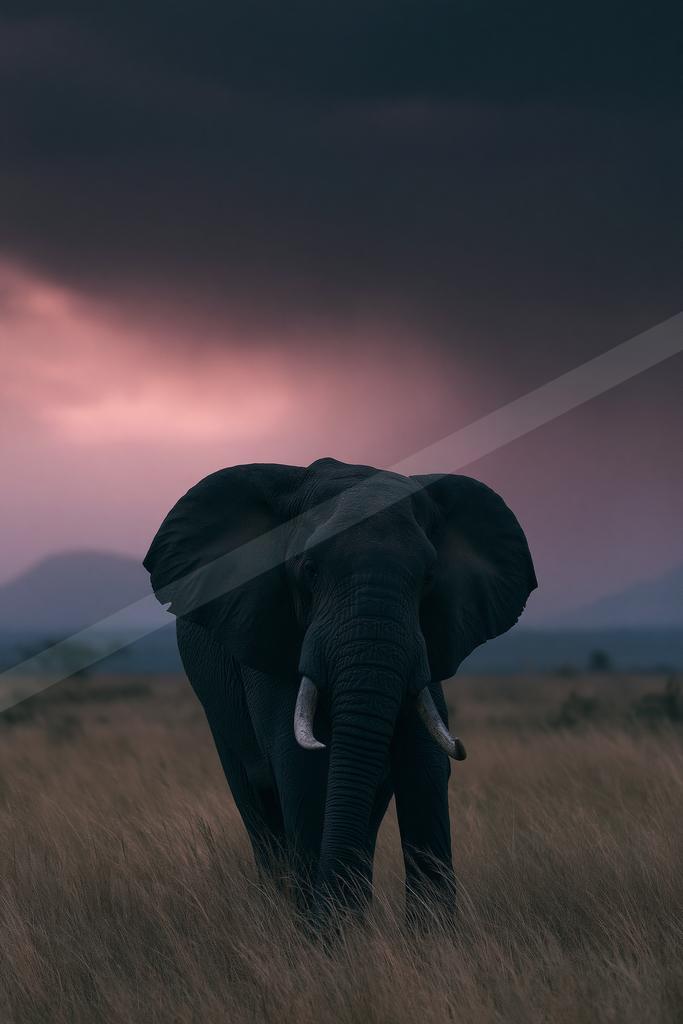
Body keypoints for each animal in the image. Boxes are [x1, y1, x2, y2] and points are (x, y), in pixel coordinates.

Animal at [143, 457, 536, 920]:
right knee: (257, 803)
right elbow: (304, 769)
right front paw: (328, 932)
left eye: (429, 577)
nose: (463, 745)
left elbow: (425, 765)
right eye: (309, 570)